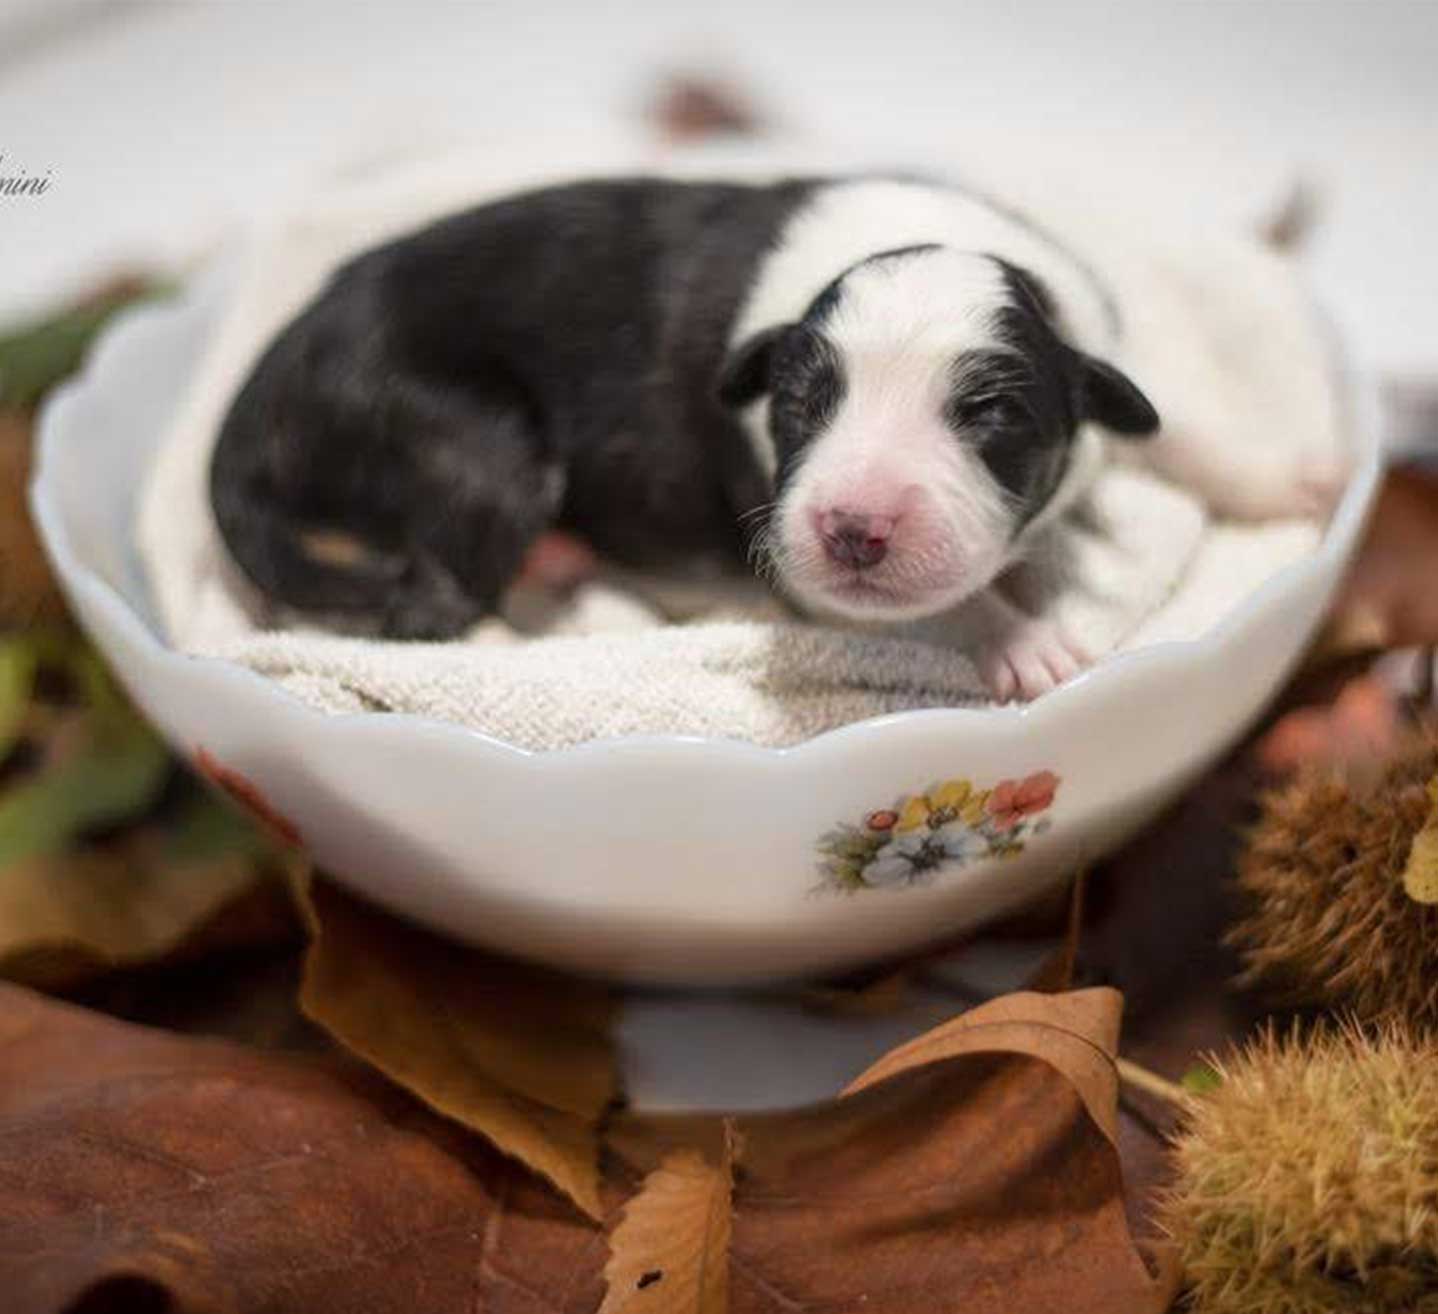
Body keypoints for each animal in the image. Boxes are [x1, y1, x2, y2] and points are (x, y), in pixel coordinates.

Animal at [209, 178, 1156, 701]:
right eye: (801, 403)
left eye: (989, 416)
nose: (852, 530)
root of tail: (265, 384)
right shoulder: (797, 564)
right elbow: (938, 607)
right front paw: (1021, 641)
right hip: (471, 447)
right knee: (426, 608)